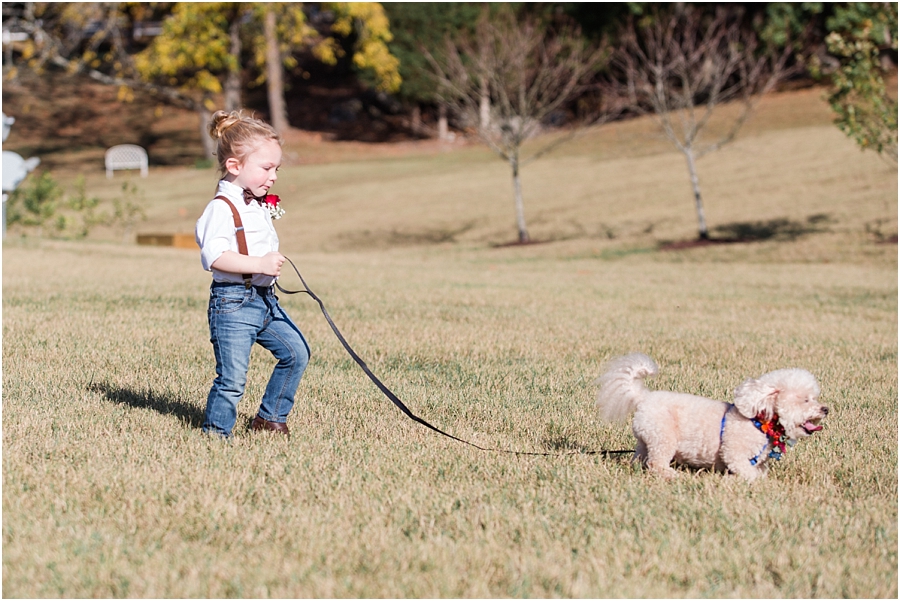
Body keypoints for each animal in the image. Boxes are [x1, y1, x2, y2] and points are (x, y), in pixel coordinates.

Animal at [596, 354, 828, 480]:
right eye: (806, 400)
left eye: (814, 398)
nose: (825, 409)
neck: (758, 420)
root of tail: (643, 397)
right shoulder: (735, 456)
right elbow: (752, 476)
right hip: (664, 438)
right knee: (656, 464)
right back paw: (672, 475)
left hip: (646, 440)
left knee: (639, 458)